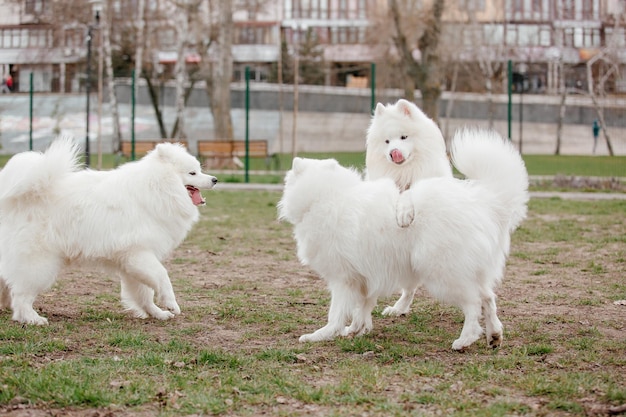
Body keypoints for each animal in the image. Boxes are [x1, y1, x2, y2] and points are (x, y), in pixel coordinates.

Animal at [0, 138, 217, 324]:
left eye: (200, 170)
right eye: (192, 173)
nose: (215, 179)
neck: (156, 189)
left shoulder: (132, 262)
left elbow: (144, 294)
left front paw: (157, 313)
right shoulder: (139, 253)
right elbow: (162, 276)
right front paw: (171, 304)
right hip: (39, 263)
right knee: (21, 295)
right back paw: (32, 318)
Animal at [278, 128, 528, 350]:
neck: (326, 196)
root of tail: (485, 202)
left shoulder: (343, 279)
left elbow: (336, 313)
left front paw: (321, 335)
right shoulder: (365, 277)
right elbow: (363, 307)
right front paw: (357, 330)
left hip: (443, 273)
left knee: (473, 304)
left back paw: (465, 339)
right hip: (467, 272)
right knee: (488, 298)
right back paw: (494, 336)